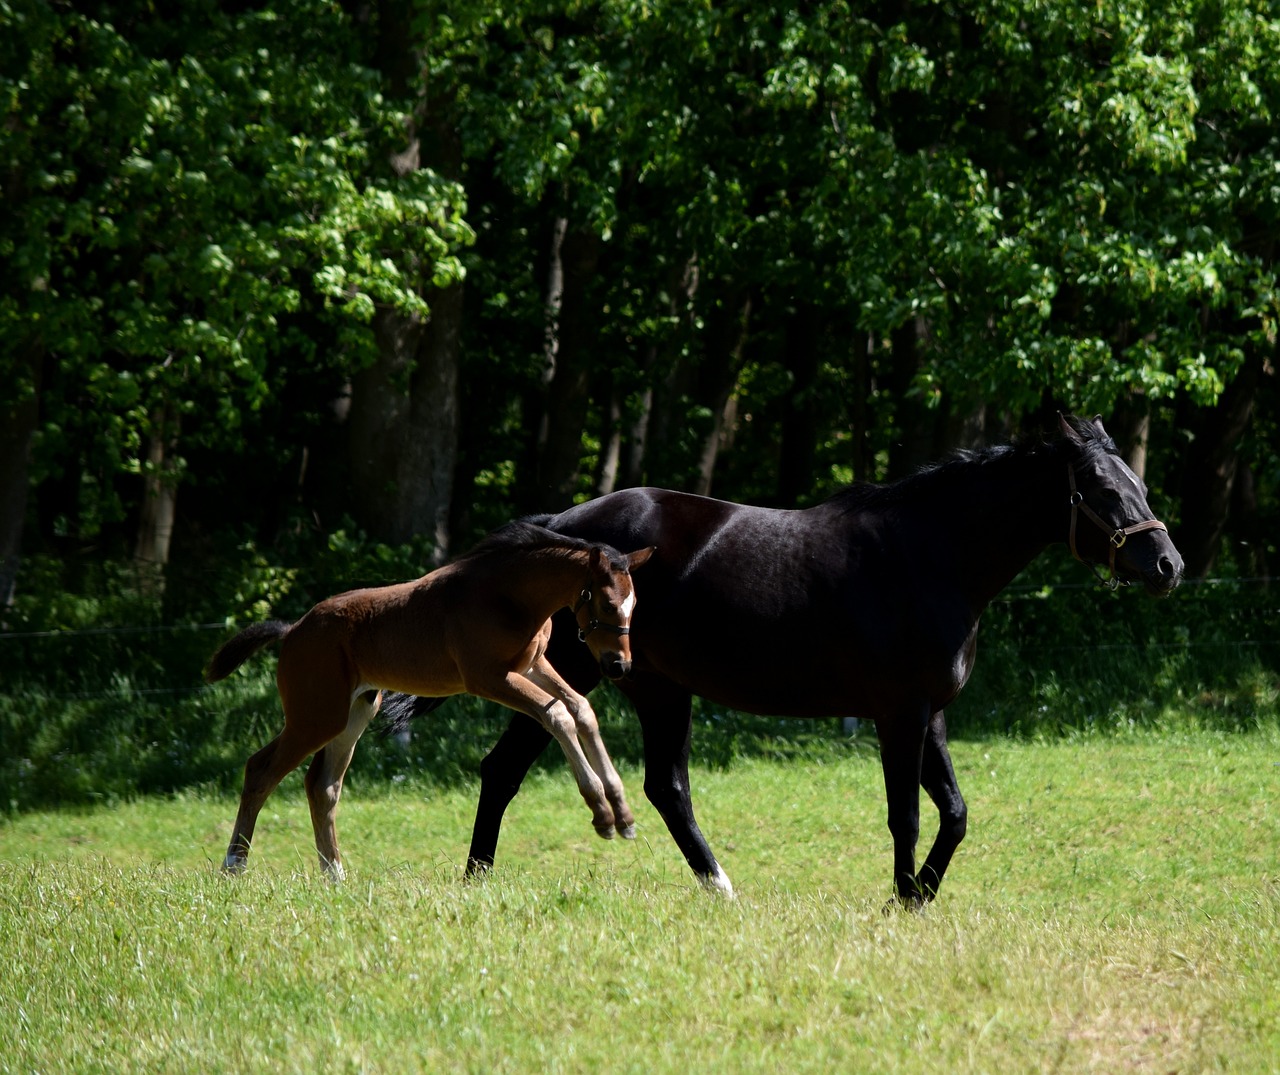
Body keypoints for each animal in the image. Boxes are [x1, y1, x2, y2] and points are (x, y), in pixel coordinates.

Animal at [386, 414, 1177, 900]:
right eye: (1101, 489)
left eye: (1140, 483)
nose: (1167, 564)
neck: (930, 554)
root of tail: (563, 525)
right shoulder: (899, 713)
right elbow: (906, 815)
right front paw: (901, 899)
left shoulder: (931, 714)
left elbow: (953, 812)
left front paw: (921, 894)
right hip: (596, 676)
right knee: (533, 772)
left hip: (648, 686)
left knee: (634, 784)